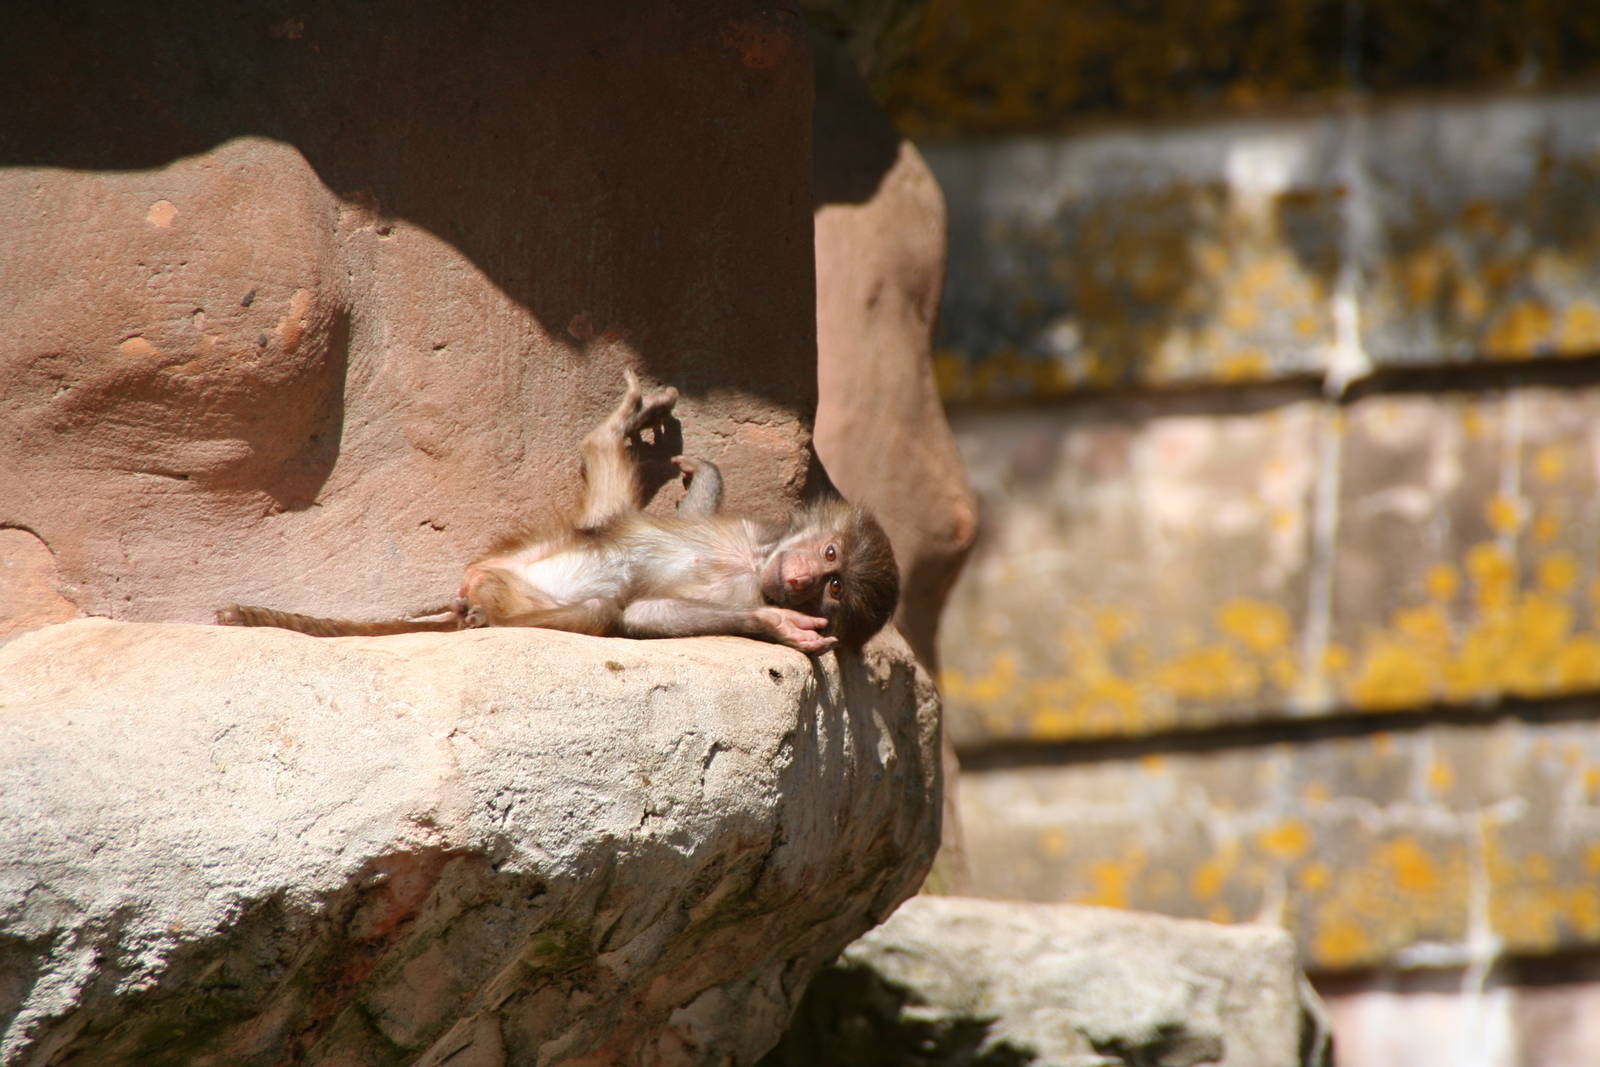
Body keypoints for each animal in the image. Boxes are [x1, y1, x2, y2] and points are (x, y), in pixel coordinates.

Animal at [217, 371, 899, 655]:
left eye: (834, 589)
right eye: (830, 558)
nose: (805, 578)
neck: (753, 564)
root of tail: (480, 582)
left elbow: (642, 615)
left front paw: (777, 625)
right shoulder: (753, 533)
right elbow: (696, 514)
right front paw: (700, 475)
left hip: (508, 582)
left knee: (595, 608)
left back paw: (483, 620)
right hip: (525, 550)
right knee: (609, 517)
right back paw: (614, 429)